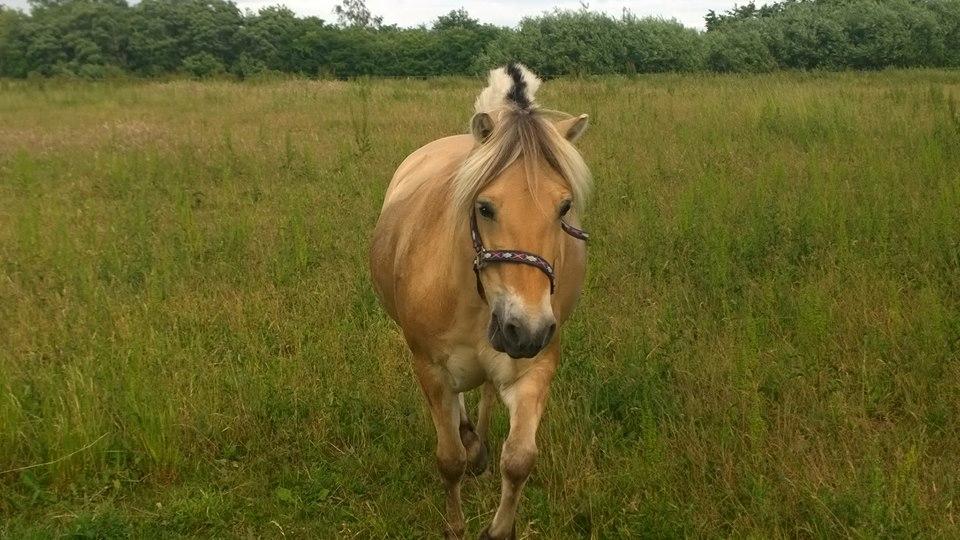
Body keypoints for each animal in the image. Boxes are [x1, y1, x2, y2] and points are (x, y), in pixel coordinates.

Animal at [370, 62, 588, 536]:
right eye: (485, 207)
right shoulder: (430, 368)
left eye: (564, 208)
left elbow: (520, 460)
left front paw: (498, 527)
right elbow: (448, 459)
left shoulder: (535, 365)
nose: (527, 329)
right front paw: (455, 525)